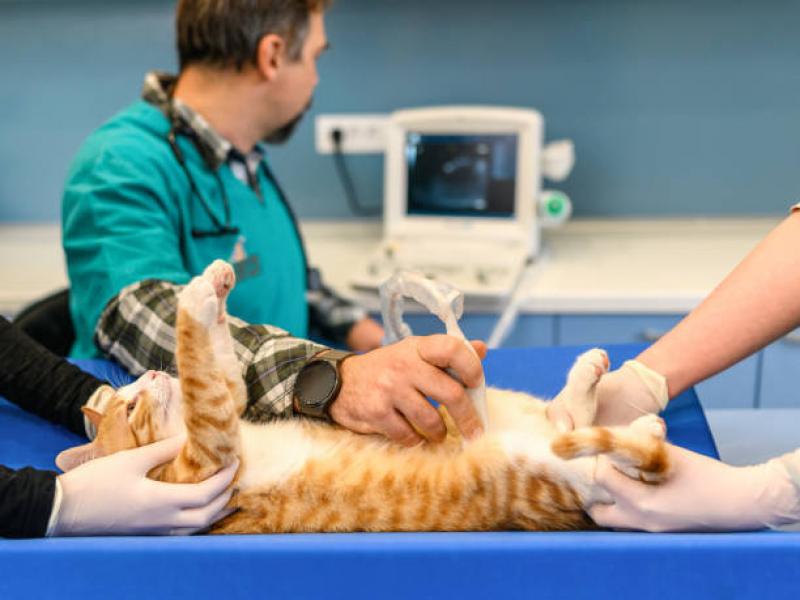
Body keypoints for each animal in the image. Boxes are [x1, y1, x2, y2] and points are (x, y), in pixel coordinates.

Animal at [56, 260, 668, 532]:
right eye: (131, 408)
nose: (152, 380)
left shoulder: (224, 400)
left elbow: (217, 364)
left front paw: (213, 283)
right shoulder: (205, 460)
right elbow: (197, 357)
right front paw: (196, 298)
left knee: (568, 416)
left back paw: (595, 381)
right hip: (544, 471)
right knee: (601, 458)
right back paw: (641, 436)